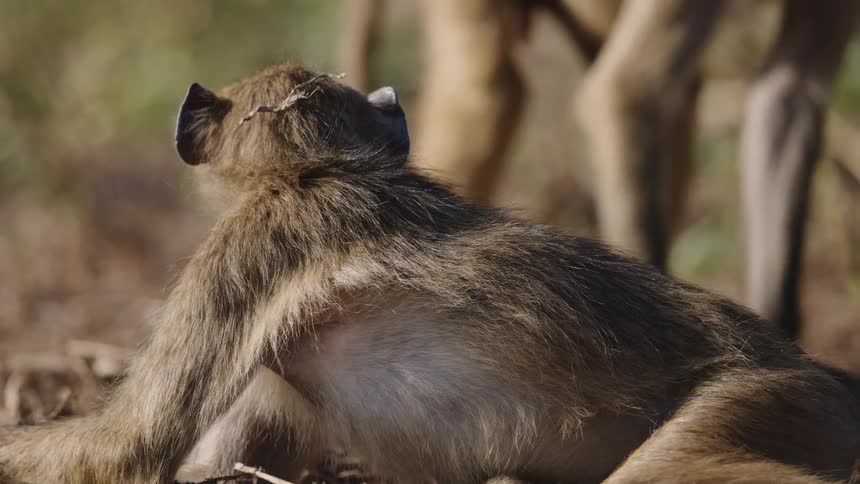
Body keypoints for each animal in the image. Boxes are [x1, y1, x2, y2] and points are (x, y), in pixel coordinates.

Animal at [1, 63, 859, 484]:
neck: (317, 170)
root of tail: (819, 370)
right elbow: (208, 464)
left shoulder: (250, 251)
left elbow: (130, 443)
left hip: (767, 398)